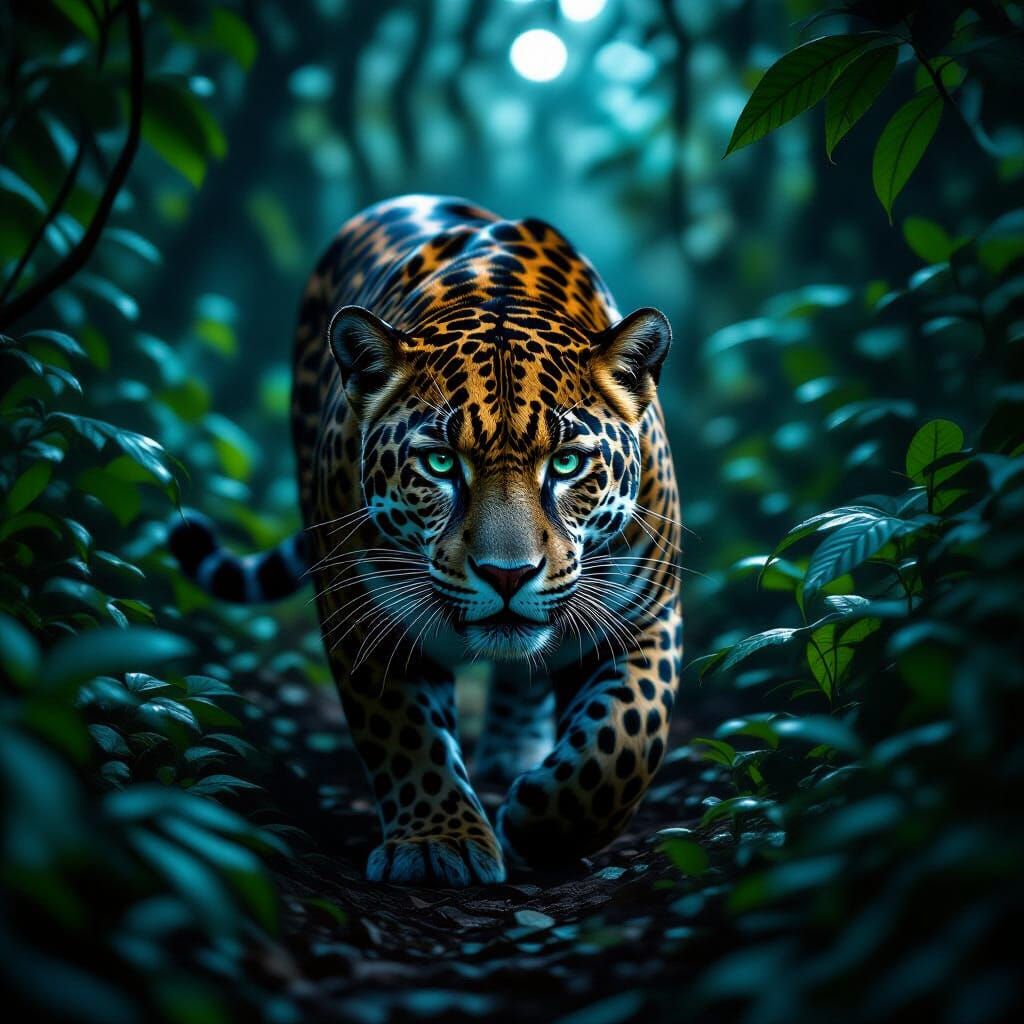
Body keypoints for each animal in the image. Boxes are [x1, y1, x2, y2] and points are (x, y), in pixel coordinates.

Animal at [170, 194, 684, 886]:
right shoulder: (363, 614)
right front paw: (439, 844)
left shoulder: (645, 615)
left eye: (568, 463)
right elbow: (404, 734)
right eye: (440, 463)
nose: (506, 574)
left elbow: (627, 739)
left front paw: (543, 824)